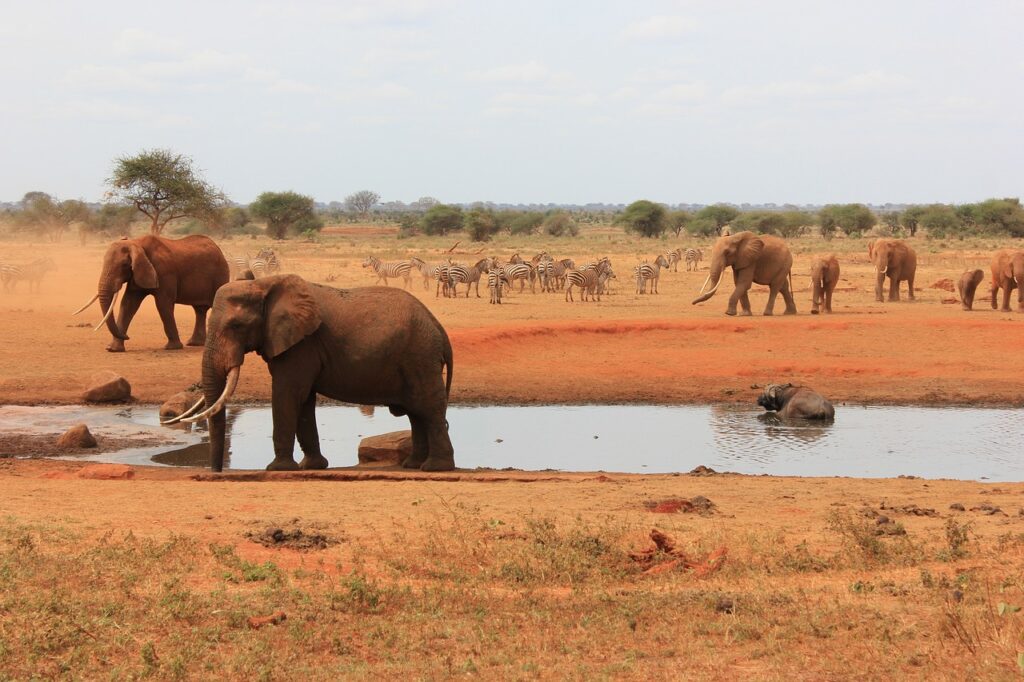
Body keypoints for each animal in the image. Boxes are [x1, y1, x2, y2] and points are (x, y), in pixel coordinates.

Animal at [74, 233, 230, 350]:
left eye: (124, 265)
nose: (128, 336)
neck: (136, 243)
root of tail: (219, 249)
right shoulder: (138, 273)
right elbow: (128, 304)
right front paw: (113, 349)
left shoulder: (165, 273)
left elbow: (163, 304)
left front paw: (172, 348)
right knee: (200, 310)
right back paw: (194, 344)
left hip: (221, 275)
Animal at [169, 274, 454, 471]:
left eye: (236, 326)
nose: (217, 472)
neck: (264, 284)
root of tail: (439, 328)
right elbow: (303, 400)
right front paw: (311, 467)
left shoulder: (301, 345)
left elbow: (287, 394)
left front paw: (278, 469)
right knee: (417, 412)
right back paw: (412, 465)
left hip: (419, 356)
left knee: (427, 408)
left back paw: (435, 468)